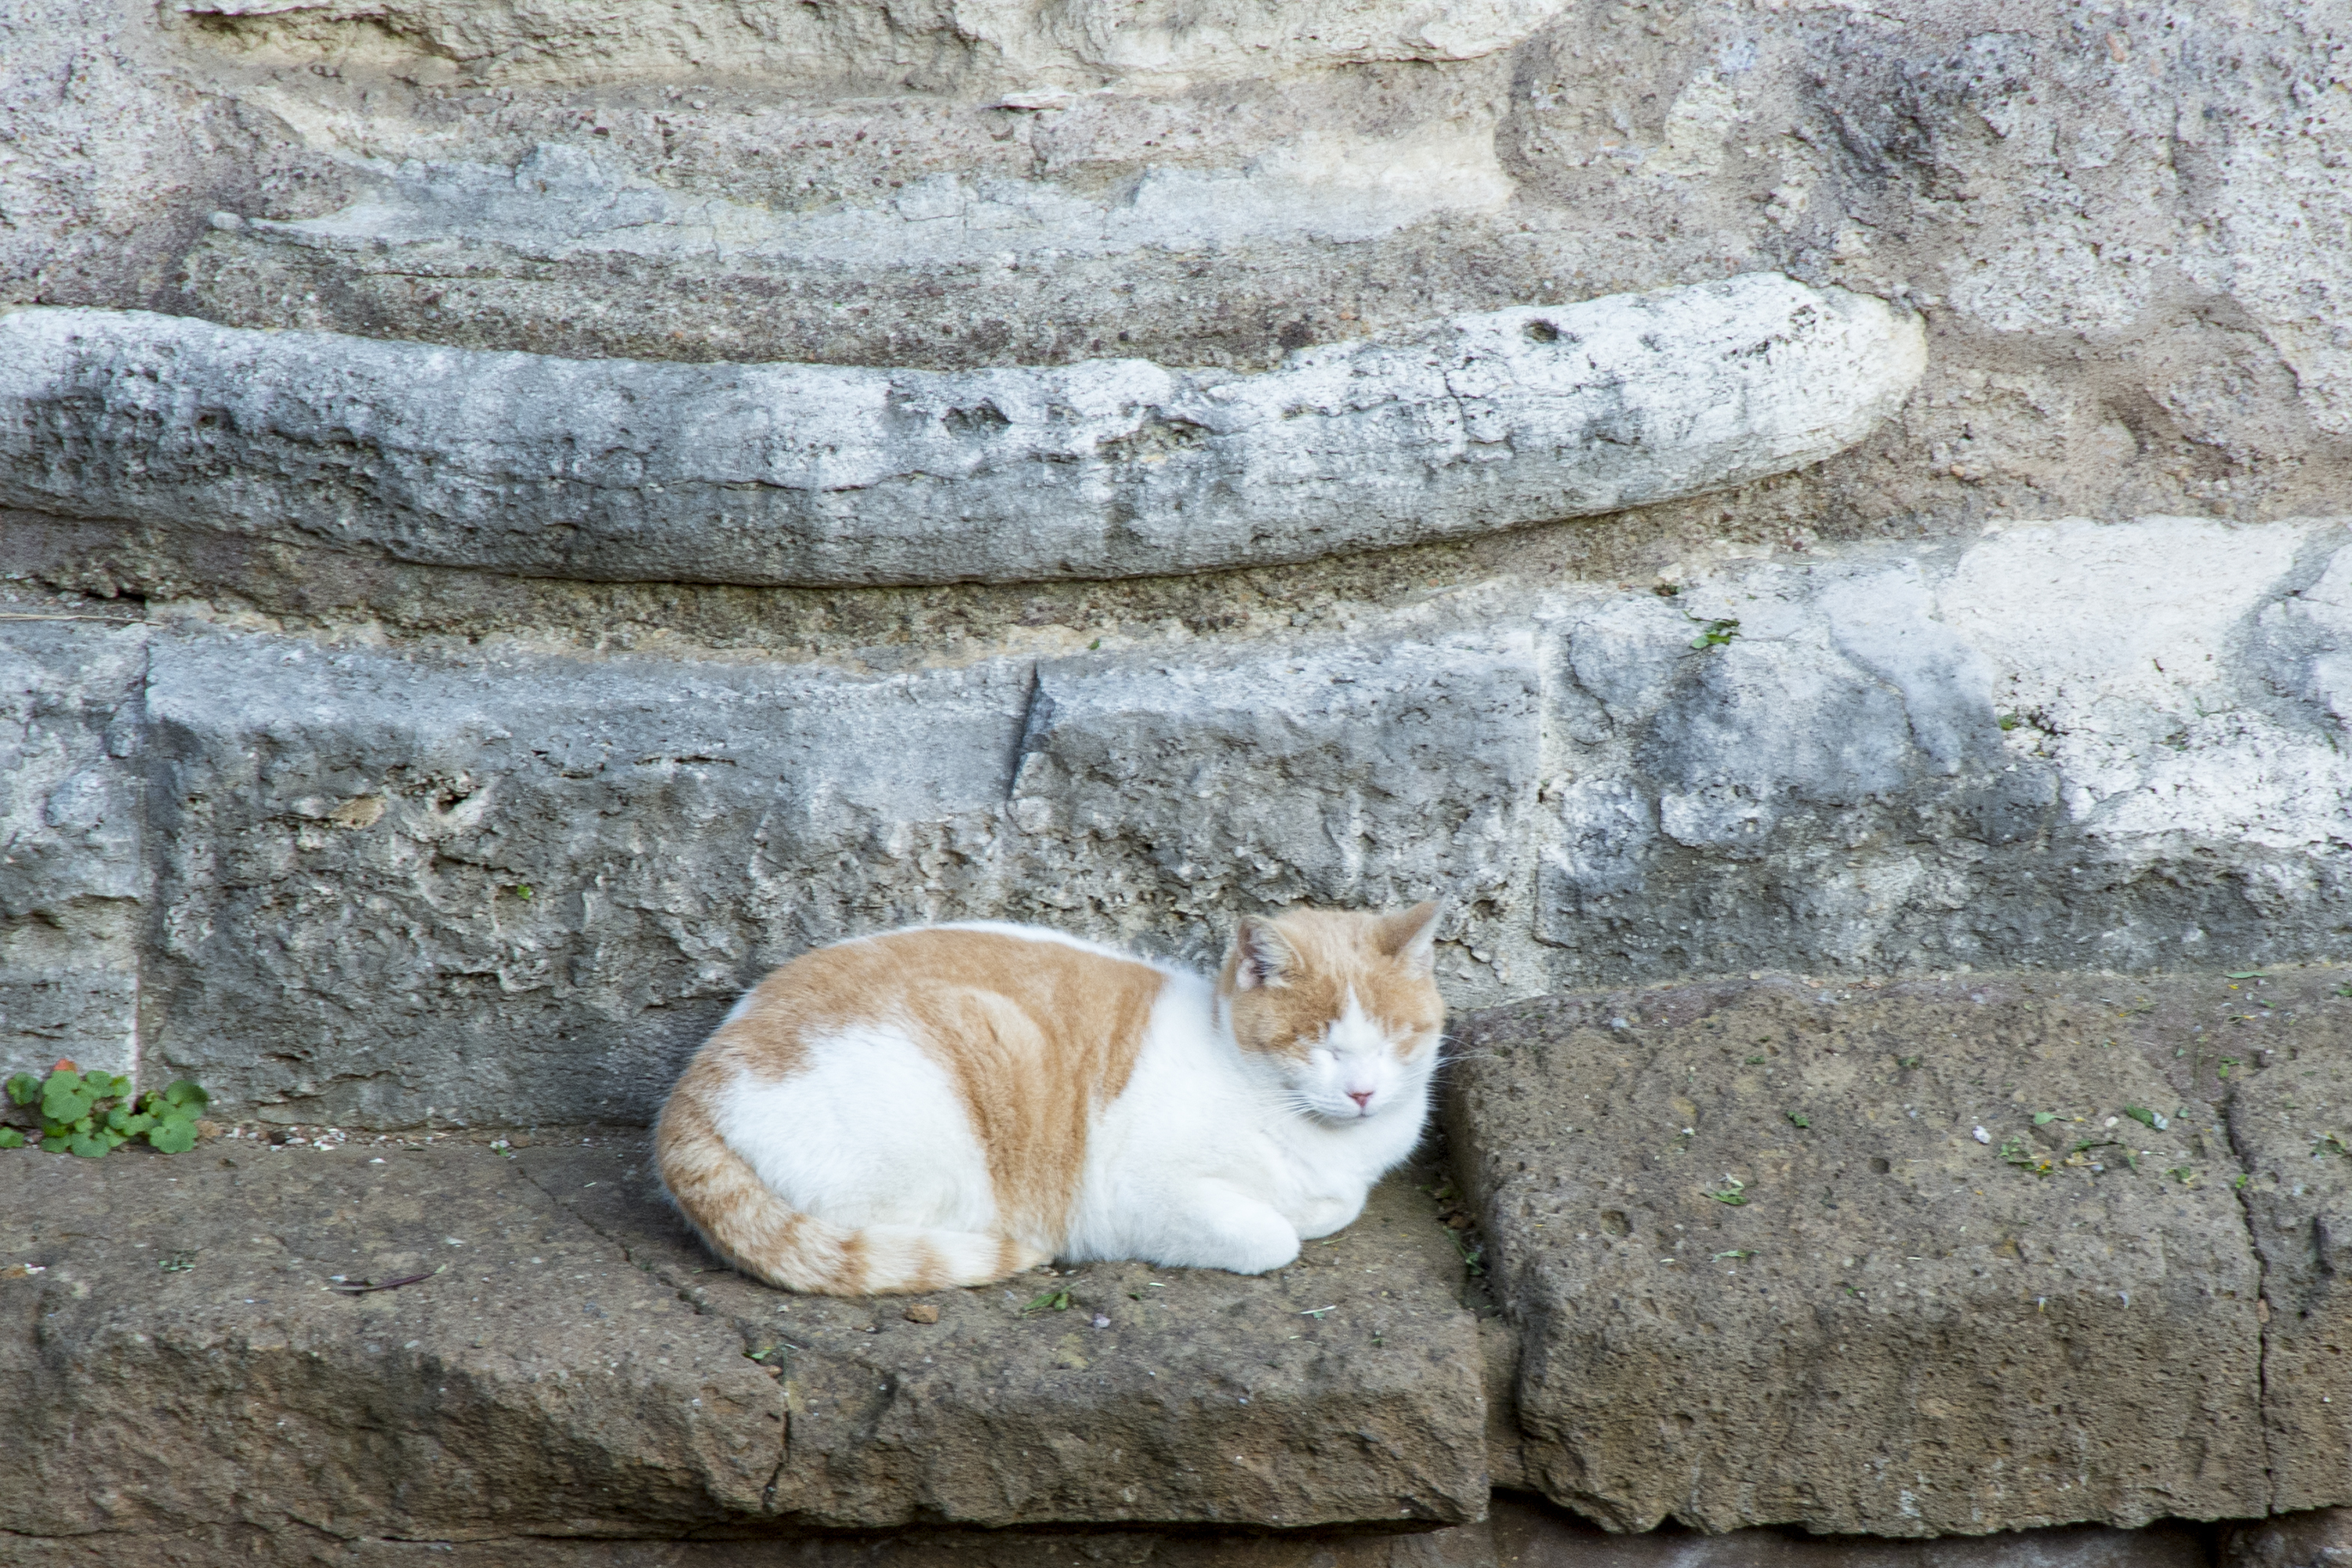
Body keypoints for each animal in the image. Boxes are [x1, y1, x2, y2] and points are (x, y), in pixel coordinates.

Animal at [654, 907, 1439, 1298]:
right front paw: (1288, 1221)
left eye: (1396, 1039)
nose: (1363, 1091)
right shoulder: (1139, 1195)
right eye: (1316, 1043)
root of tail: (691, 1087)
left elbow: (1337, 1207)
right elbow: (1275, 1238)